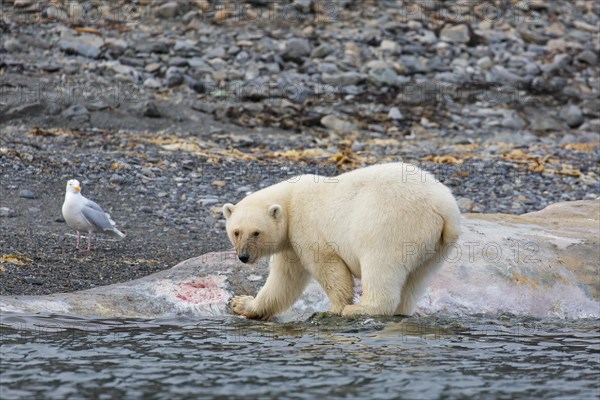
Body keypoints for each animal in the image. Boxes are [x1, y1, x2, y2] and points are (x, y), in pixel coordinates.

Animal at [223, 162, 462, 318]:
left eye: (256, 232)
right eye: (236, 232)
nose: (244, 256)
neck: (290, 199)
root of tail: (444, 206)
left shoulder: (306, 226)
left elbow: (327, 267)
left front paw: (335, 308)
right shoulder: (291, 242)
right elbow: (284, 280)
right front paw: (241, 304)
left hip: (392, 223)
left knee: (380, 265)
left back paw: (359, 309)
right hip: (435, 247)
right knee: (417, 279)